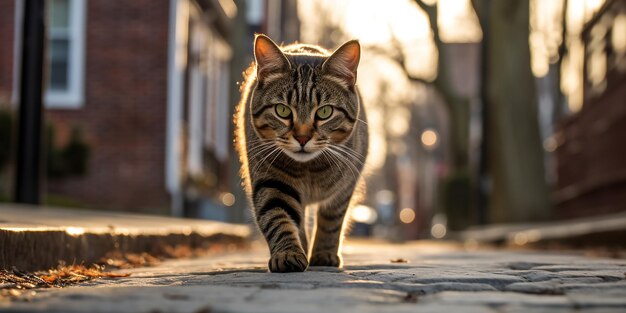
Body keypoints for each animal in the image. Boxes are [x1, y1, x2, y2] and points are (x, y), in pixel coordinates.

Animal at [236, 35, 368, 272]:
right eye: (282, 110)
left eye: (325, 112)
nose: (303, 138)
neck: (310, 171)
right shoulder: (271, 181)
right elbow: (278, 218)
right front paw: (288, 253)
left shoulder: (345, 188)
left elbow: (331, 222)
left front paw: (324, 254)